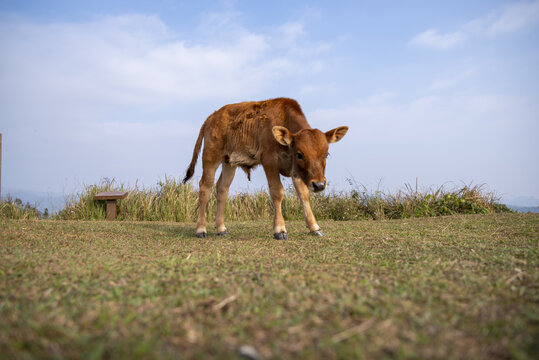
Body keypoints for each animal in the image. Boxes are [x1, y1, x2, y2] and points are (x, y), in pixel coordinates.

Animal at [182, 98, 350, 239]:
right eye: (300, 154)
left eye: (326, 154)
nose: (319, 185)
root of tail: (211, 117)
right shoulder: (269, 162)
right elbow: (277, 192)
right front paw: (280, 229)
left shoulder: (296, 171)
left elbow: (303, 195)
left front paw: (314, 227)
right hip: (210, 157)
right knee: (205, 188)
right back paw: (201, 229)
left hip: (229, 162)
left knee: (222, 189)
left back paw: (221, 228)